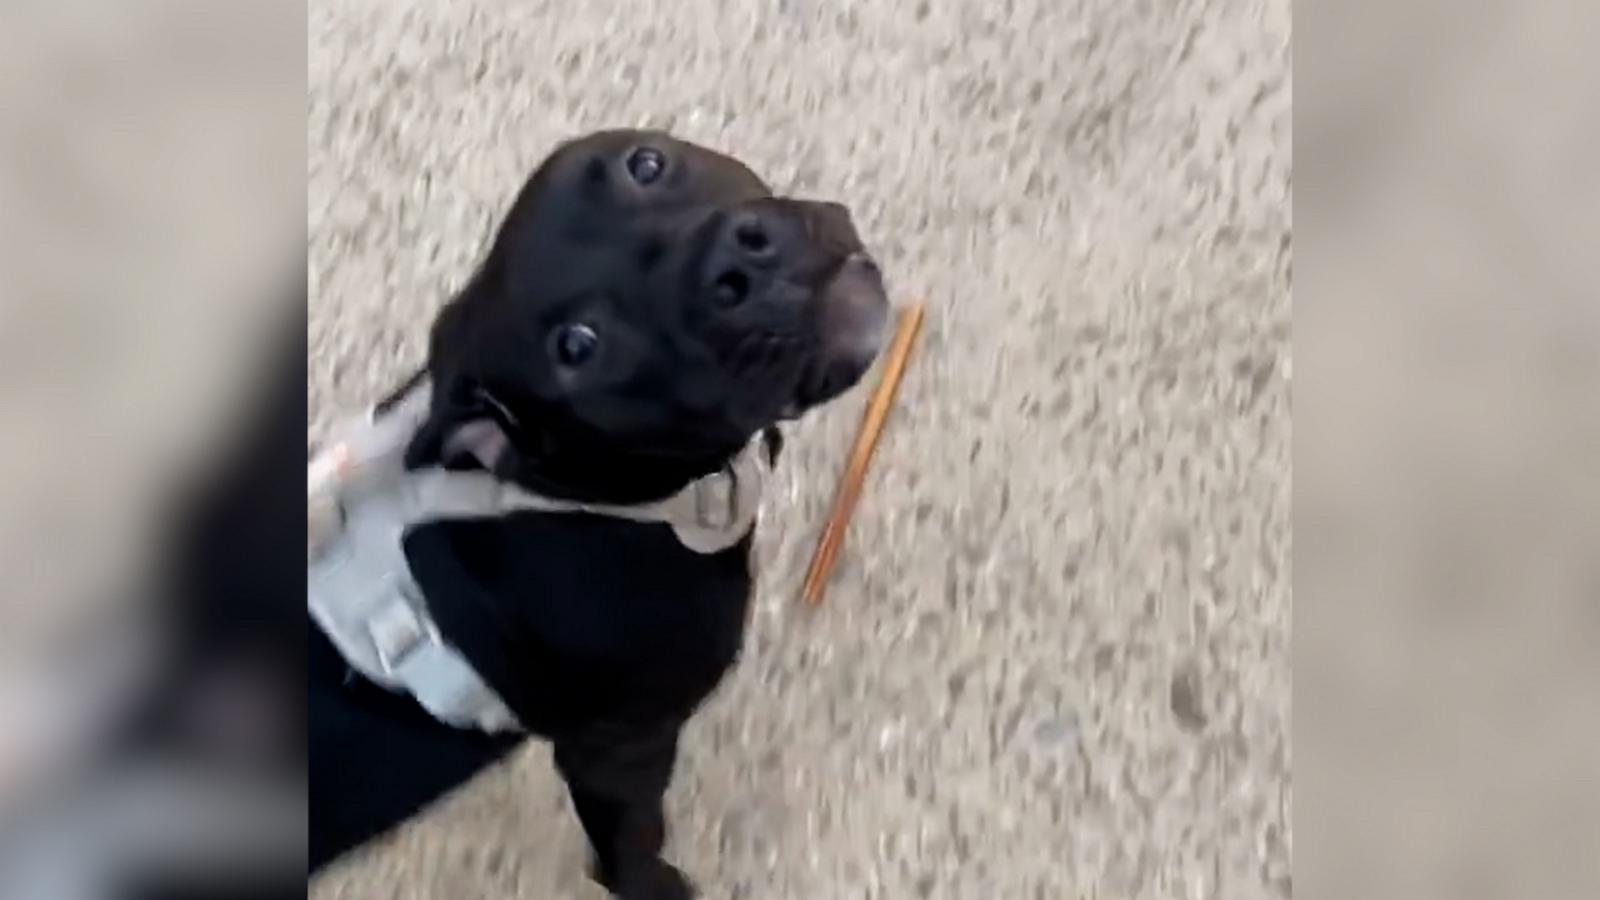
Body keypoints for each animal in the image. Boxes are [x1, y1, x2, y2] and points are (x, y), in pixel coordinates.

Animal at [307, 128, 896, 896]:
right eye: (578, 346)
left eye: (646, 163)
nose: (737, 261)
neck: (574, 496)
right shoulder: (620, 751)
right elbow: (630, 850)